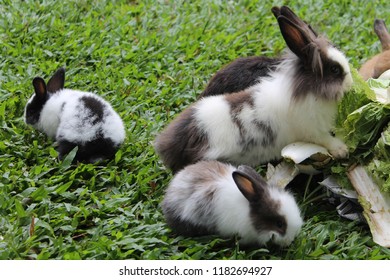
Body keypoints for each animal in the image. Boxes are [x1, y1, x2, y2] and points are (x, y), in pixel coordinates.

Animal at [155, 6, 354, 173]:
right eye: (335, 70)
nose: (351, 83)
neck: (309, 91)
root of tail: (170, 145)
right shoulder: (312, 130)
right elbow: (326, 139)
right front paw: (342, 149)